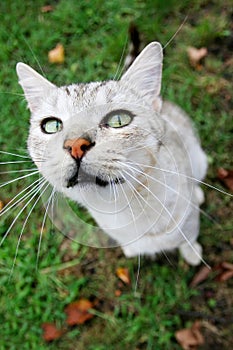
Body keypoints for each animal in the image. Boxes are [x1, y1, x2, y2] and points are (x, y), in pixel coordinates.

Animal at [15, 41, 208, 266]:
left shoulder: (189, 222)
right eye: (52, 125)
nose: (75, 144)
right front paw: (132, 250)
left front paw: (193, 254)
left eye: (118, 120)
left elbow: (189, 239)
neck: (122, 208)